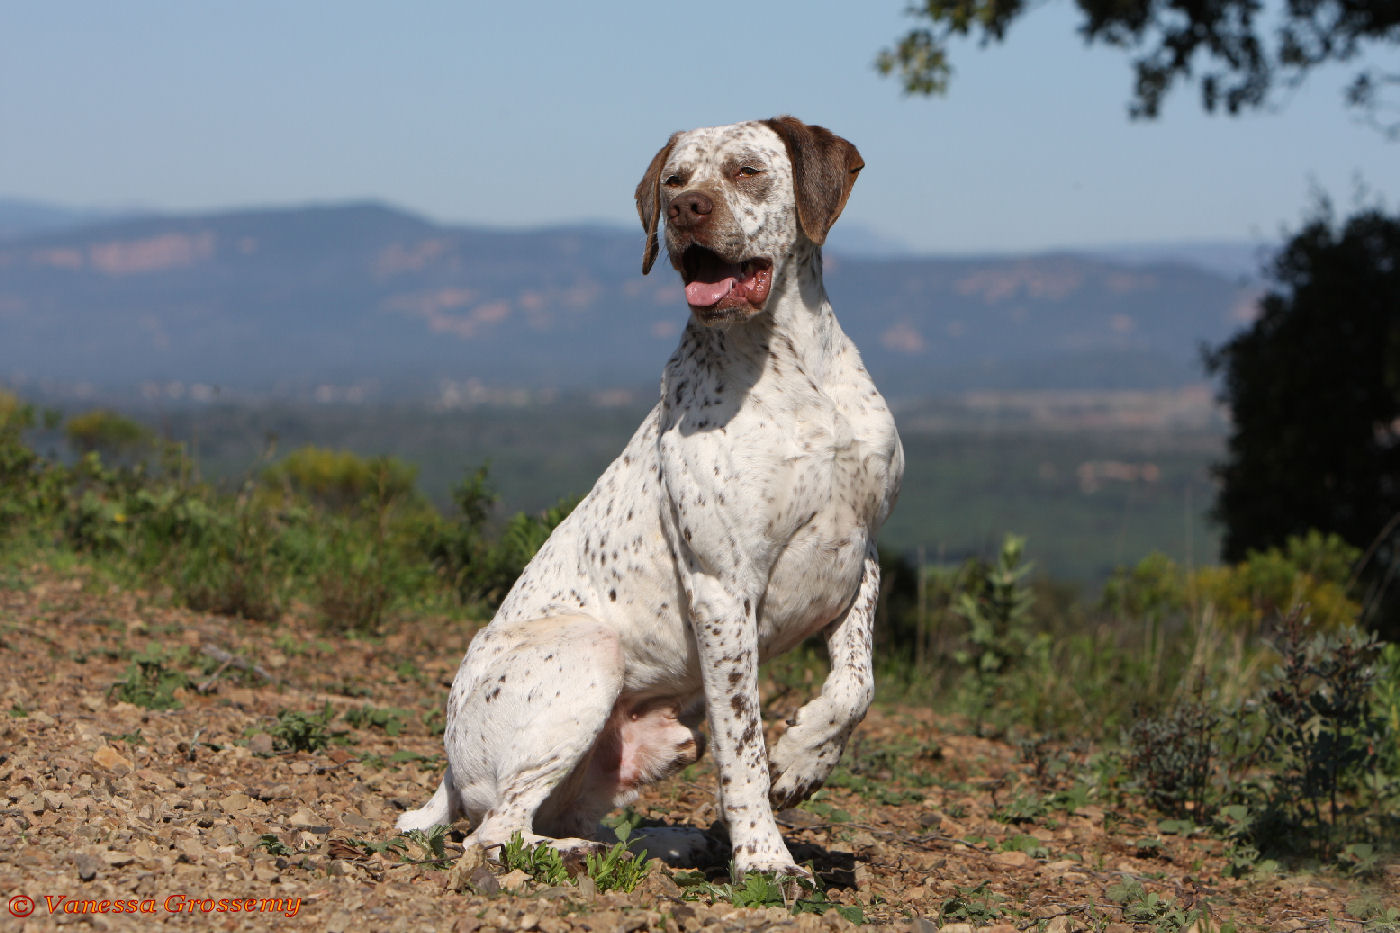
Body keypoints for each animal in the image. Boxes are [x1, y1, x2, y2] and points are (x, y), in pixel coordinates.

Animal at [403, 114, 907, 874]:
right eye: (674, 179)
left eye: (746, 170)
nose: (684, 210)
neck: (795, 374)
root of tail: (445, 771)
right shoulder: (724, 588)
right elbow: (744, 746)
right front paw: (765, 859)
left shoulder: (860, 556)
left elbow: (856, 685)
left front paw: (804, 759)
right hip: (590, 655)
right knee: (495, 833)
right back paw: (580, 854)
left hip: (656, 738)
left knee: (565, 814)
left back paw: (663, 841)